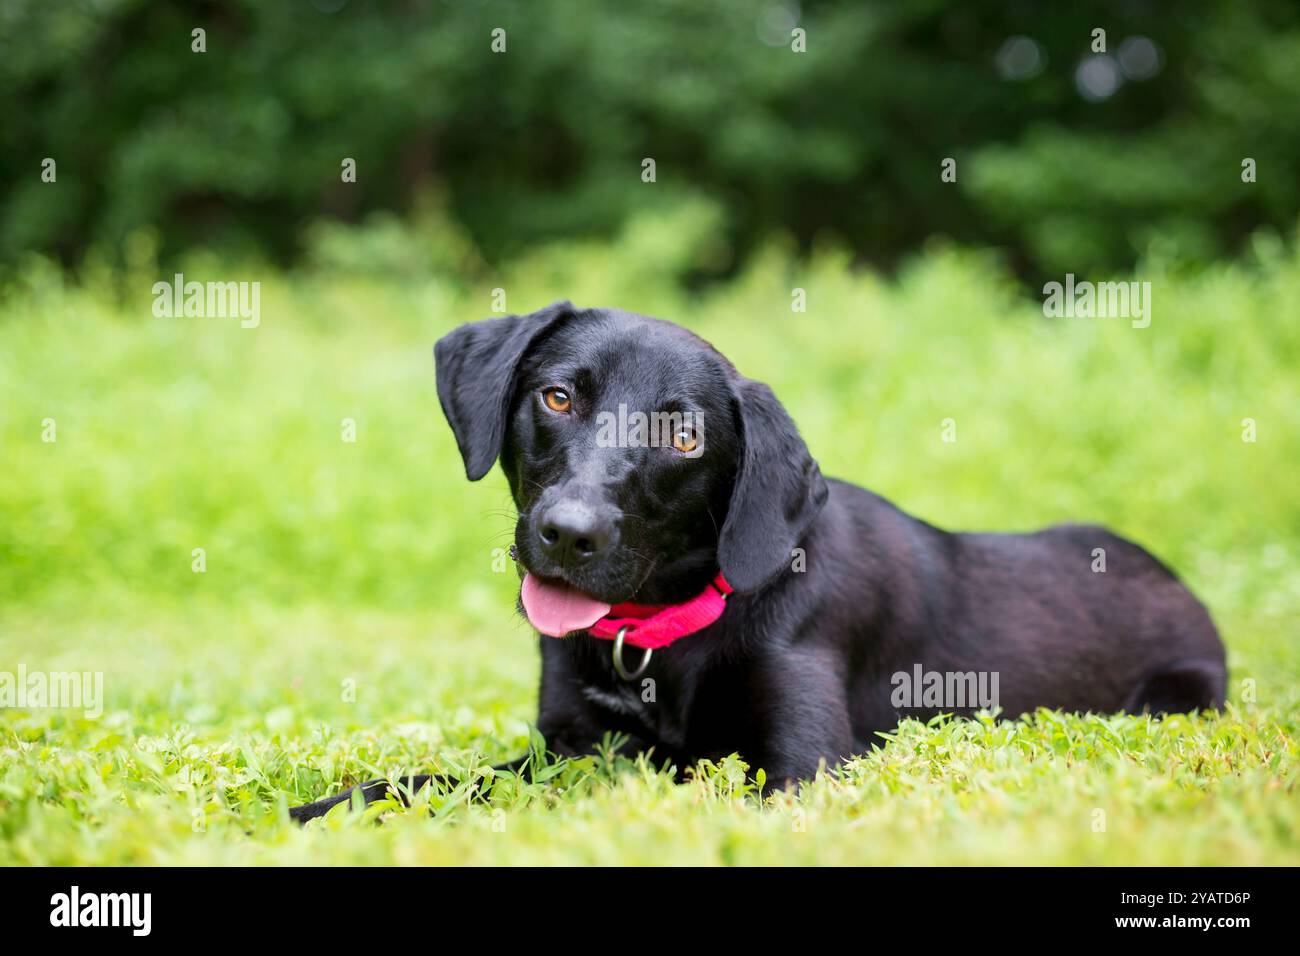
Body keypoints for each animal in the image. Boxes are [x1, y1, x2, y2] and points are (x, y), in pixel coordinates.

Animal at [287, 304, 1227, 822]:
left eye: (683, 435)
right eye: (556, 397)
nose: (567, 534)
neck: (661, 637)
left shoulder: (803, 770)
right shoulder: (568, 747)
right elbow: (428, 780)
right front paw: (317, 809)